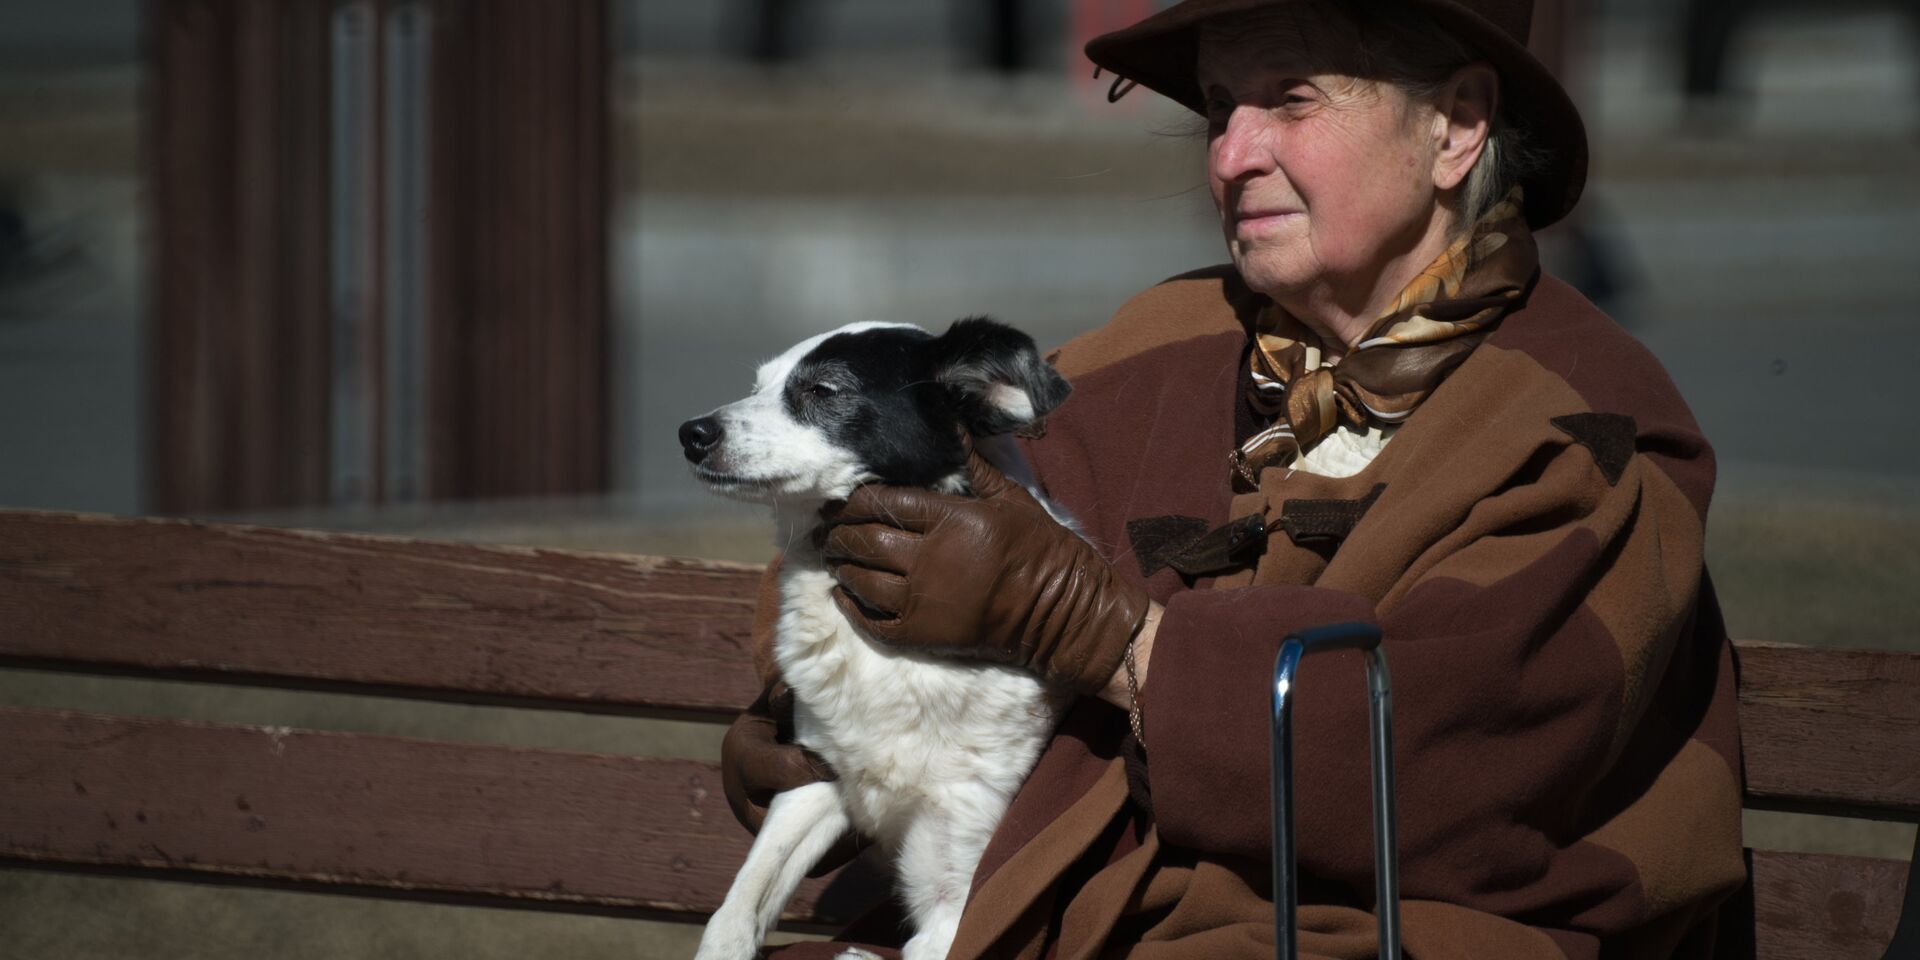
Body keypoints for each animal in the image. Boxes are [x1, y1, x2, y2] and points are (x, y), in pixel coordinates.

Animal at [683, 320, 1075, 960]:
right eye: (758, 386)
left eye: (823, 389)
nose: (690, 433)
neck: (894, 654)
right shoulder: (814, 784)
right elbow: (735, 911)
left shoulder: (959, 894)